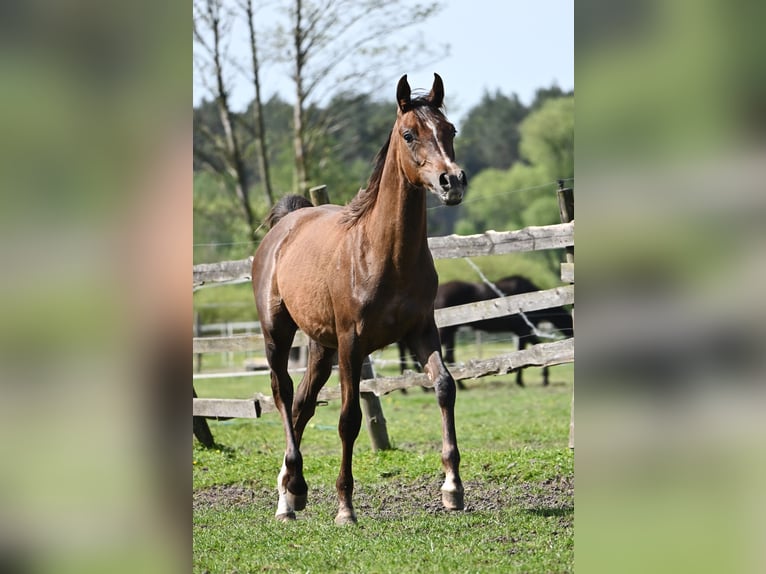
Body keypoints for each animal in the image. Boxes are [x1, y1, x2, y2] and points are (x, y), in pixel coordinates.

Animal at [252, 73, 468, 528]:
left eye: (450, 129)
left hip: (321, 347)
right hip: (278, 335)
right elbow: (349, 419)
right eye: (409, 134)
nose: (452, 182)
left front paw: (452, 489)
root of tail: (286, 224)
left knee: (301, 404)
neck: (383, 254)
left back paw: (289, 494)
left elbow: (444, 386)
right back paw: (292, 491)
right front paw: (345, 508)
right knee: (283, 394)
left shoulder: (423, 330)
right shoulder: (352, 344)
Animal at [400, 276, 572, 390]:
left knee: (445, 357)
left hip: (449, 332)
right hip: (442, 332)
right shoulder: (523, 330)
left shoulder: (523, 332)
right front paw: (524, 381)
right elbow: (527, 350)